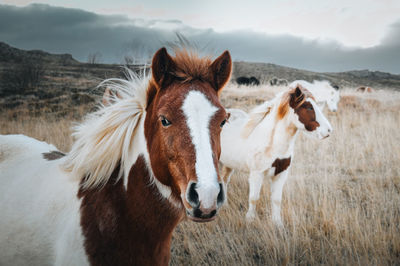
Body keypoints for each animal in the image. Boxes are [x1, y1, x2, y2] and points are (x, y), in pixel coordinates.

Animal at [219, 85, 332, 227]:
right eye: (308, 107)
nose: (328, 131)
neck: (271, 142)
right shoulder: (257, 174)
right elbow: (253, 198)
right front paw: (250, 219)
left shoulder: (281, 174)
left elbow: (276, 199)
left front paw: (277, 223)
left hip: (228, 164)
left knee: (224, 180)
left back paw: (224, 205)